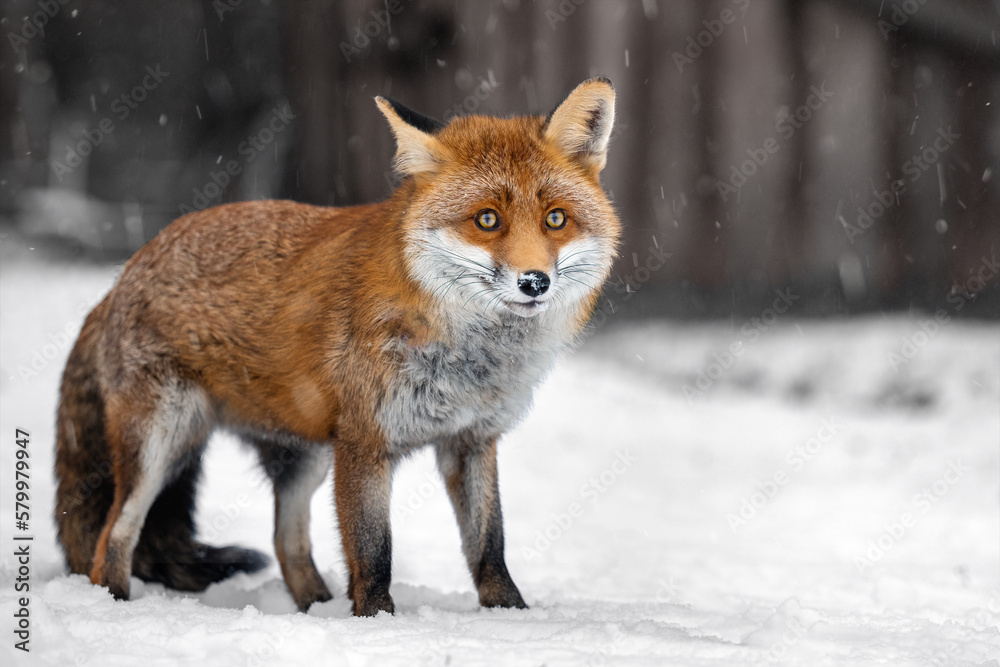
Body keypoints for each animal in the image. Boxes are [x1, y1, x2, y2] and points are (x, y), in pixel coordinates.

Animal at [54, 77, 621, 616]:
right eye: (487, 220)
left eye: (555, 219)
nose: (535, 282)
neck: (467, 356)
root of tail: (124, 272)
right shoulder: (363, 444)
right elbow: (373, 553)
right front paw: (377, 621)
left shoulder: (472, 442)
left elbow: (489, 544)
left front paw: (511, 616)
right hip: (161, 444)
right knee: (114, 537)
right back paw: (117, 603)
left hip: (300, 459)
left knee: (286, 545)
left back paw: (318, 610)